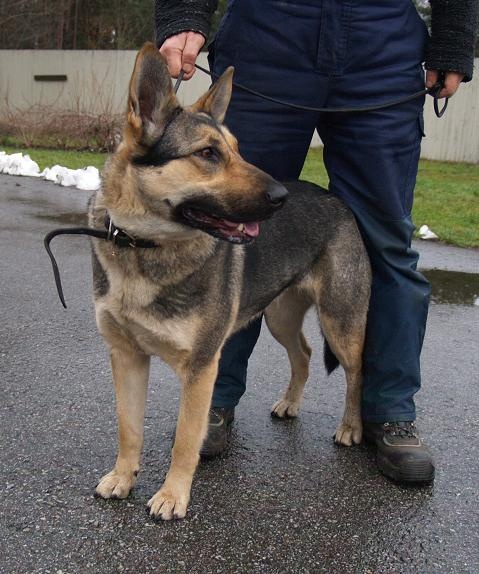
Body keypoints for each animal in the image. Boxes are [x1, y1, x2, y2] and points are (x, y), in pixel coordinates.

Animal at [88, 42, 371, 520]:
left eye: (238, 150)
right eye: (207, 154)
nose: (280, 198)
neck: (144, 246)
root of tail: (337, 199)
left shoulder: (201, 368)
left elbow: (186, 439)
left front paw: (172, 496)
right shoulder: (126, 357)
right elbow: (129, 428)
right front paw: (124, 478)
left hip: (341, 322)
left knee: (356, 373)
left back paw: (351, 428)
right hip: (279, 318)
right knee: (304, 354)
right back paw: (291, 403)